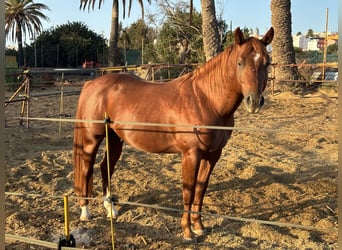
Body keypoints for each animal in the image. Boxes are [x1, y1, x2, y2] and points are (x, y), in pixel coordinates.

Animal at [73, 27, 274, 240]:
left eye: (267, 62)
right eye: (240, 62)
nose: (254, 101)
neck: (206, 100)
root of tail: (91, 84)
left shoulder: (212, 155)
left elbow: (200, 190)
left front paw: (199, 226)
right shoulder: (191, 155)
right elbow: (189, 191)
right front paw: (187, 231)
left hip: (115, 138)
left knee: (106, 167)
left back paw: (111, 209)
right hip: (91, 140)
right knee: (86, 169)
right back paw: (85, 211)